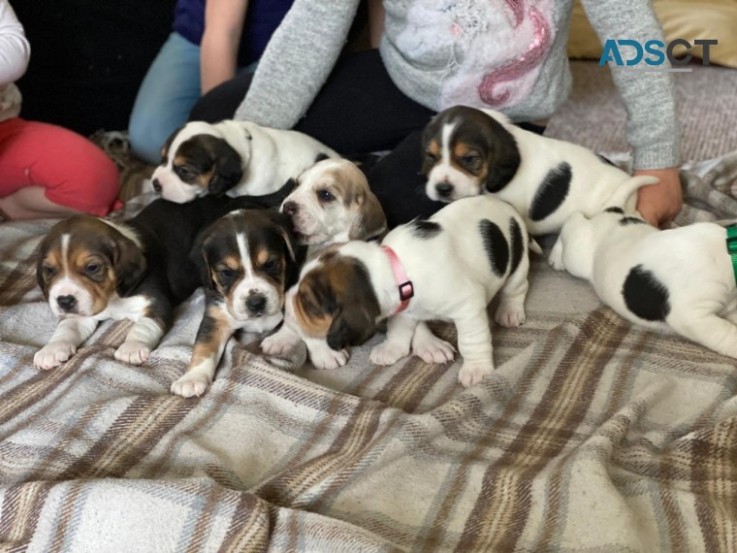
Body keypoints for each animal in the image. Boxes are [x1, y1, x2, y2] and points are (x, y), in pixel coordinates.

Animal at [33, 194, 284, 370]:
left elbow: (142, 327)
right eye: (49, 270)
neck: (113, 298)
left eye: (92, 268)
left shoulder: (155, 303)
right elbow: (66, 328)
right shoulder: (82, 313)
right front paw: (51, 349)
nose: (64, 301)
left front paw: (131, 348)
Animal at [170, 208, 302, 396]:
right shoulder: (215, 318)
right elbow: (204, 347)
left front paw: (279, 340)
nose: (256, 302)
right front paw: (191, 379)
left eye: (270, 263)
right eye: (226, 272)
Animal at [264, 196, 536, 386]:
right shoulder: (405, 308)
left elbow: (472, 341)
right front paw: (392, 350)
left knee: (516, 289)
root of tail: (506, 205)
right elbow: (399, 330)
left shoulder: (468, 307)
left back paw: (510, 311)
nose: (285, 308)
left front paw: (477, 369)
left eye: (309, 303)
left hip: (518, 264)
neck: (395, 267)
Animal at [548, 208, 736, 358]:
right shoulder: (692, 314)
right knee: (573, 221)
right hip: (577, 254)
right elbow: (724, 332)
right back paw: (556, 256)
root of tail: (612, 214)